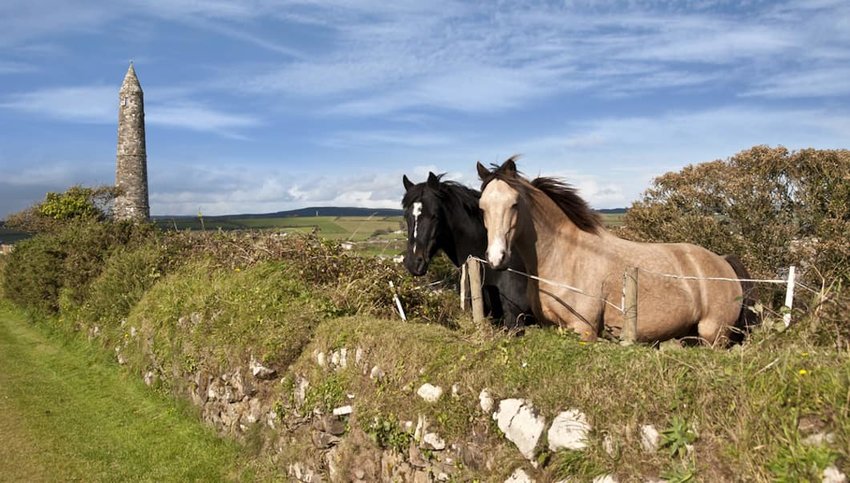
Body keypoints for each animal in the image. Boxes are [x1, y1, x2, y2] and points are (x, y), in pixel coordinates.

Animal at [474, 158, 752, 344]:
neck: (565, 257)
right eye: (482, 207)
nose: (496, 258)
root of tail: (723, 262)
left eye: (514, 204)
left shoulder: (584, 330)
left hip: (714, 335)